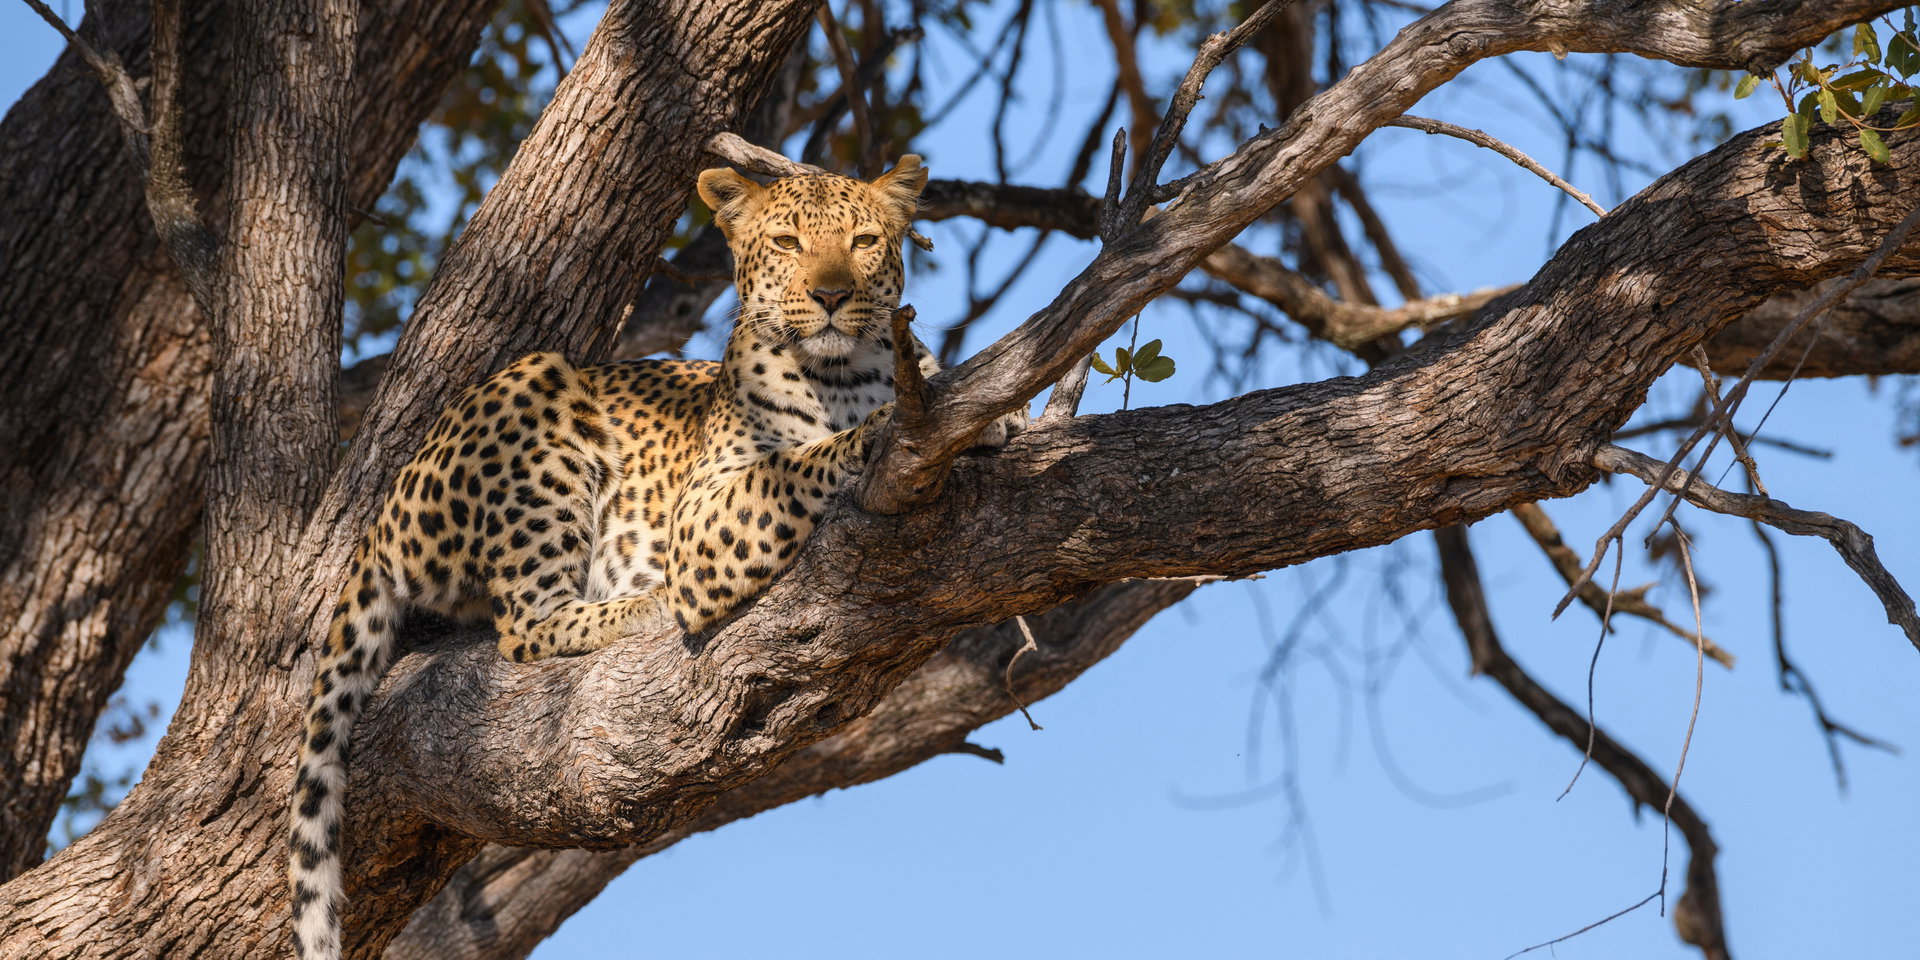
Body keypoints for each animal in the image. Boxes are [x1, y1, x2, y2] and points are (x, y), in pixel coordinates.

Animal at [286, 156, 1023, 960]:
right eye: (788, 243)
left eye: (863, 242)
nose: (830, 297)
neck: (848, 375)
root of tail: (381, 513)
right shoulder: (702, 516)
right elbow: (801, 459)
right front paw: (893, 425)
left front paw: (994, 416)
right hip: (541, 389)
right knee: (525, 623)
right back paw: (646, 605)